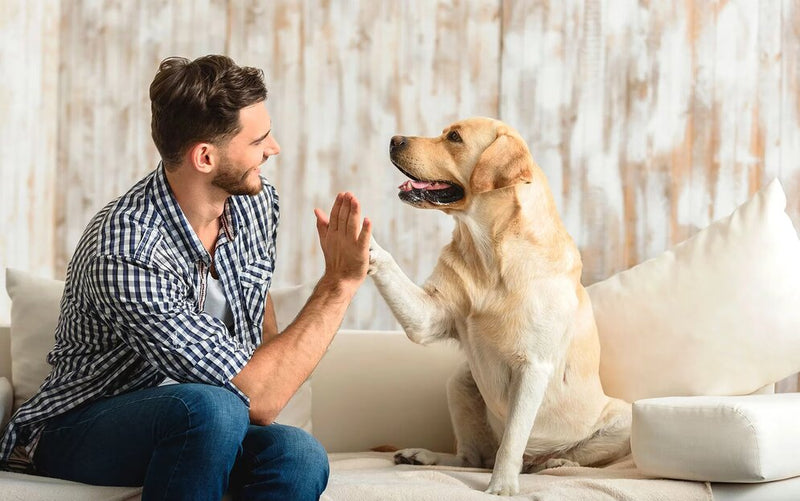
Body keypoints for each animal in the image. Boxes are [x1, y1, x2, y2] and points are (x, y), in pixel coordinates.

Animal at [368, 116, 632, 492]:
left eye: (454, 137)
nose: (393, 140)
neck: (490, 252)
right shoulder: (428, 317)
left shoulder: (533, 367)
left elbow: (512, 440)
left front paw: (502, 486)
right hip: (460, 381)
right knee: (472, 458)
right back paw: (423, 455)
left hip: (623, 418)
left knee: (556, 458)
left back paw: (554, 461)